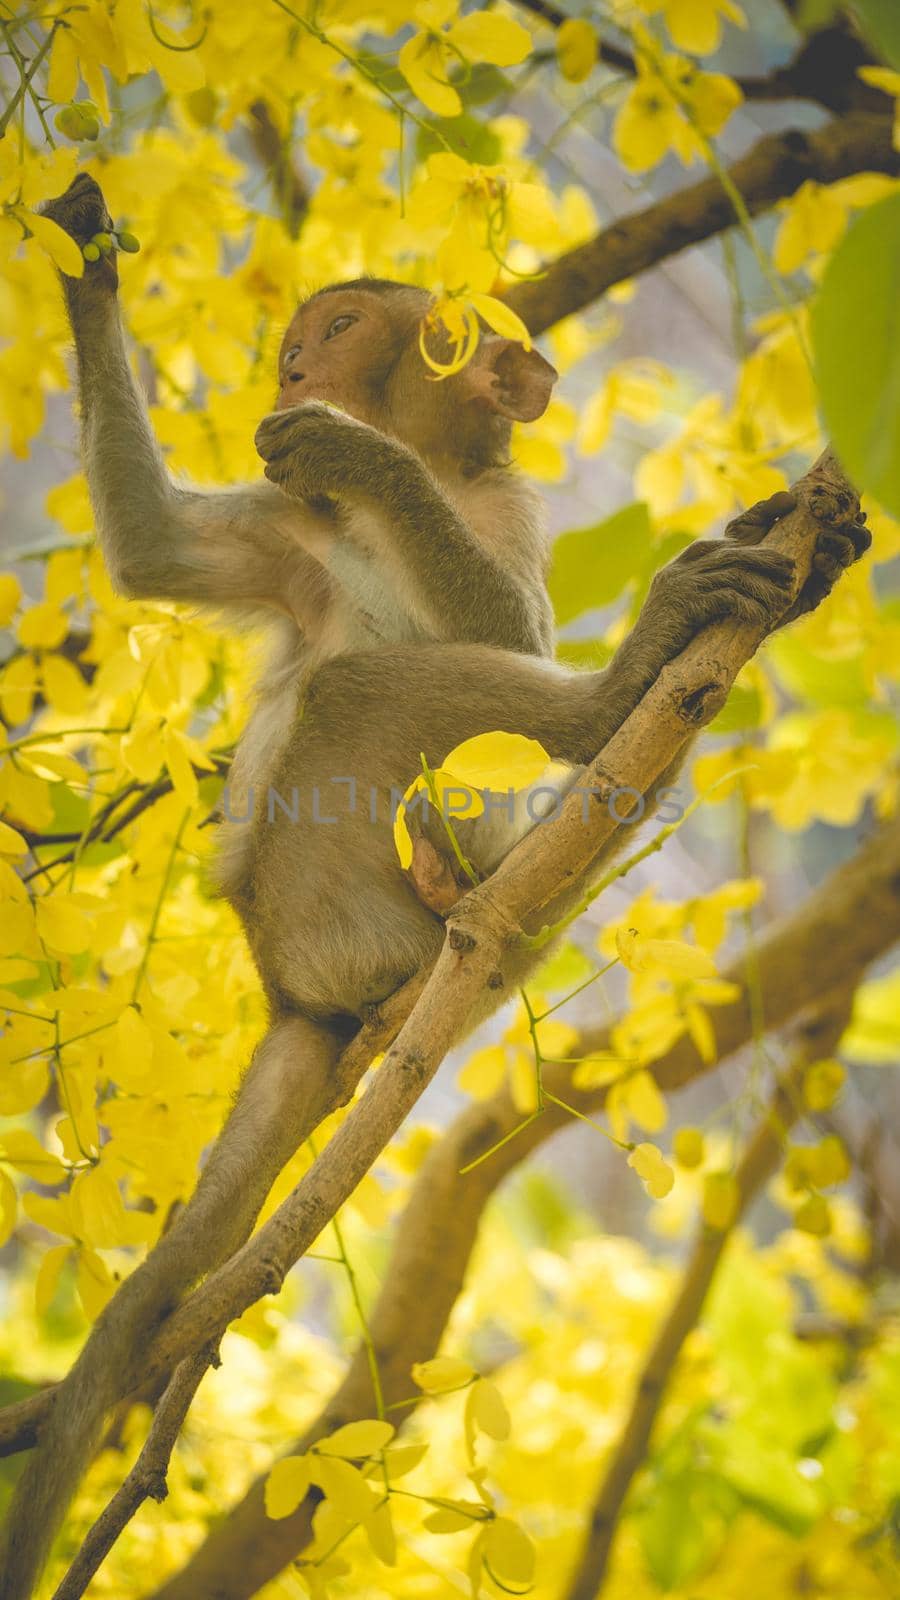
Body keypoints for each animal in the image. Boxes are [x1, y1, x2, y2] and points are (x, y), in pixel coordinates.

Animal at [0, 168, 871, 1593]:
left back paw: (598, 743)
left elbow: (494, 621)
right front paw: (86, 254)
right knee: (353, 689)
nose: (295, 362)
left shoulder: (499, 513)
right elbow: (159, 555)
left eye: (345, 325)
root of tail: (293, 988)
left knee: (384, 696)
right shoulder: (295, 527)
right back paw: (611, 715)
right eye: (302, 335)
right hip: (339, 901)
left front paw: (368, 453)